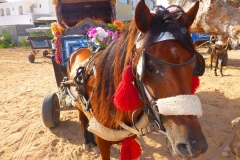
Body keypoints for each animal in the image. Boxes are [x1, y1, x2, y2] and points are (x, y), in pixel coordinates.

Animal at [66, 0, 207, 159]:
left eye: (194, 65)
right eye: (149, 67)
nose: (194, 145)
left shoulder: (130, 136)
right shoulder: (102, 141)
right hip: (77, 103)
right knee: (83, 120)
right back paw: (87, 142)